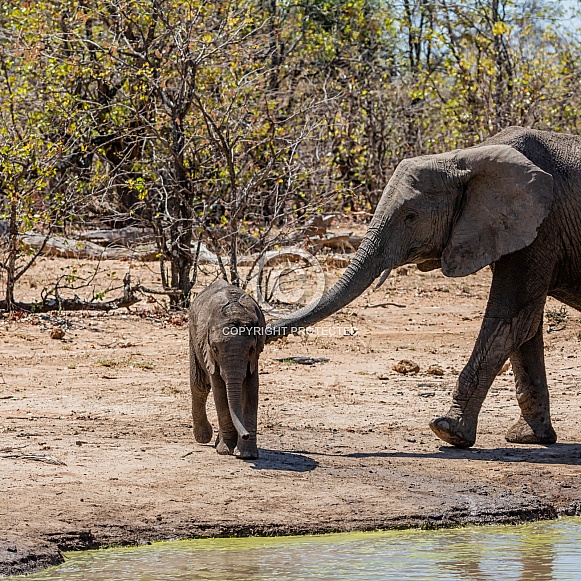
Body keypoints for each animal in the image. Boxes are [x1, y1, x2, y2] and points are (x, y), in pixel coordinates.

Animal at [188, 278, 266, 460]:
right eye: (215, 349)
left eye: (251, 349)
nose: (245, 434)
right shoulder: (209, 351)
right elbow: (219, 390)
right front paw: (225, 450)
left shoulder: (254, 357)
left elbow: (251, 390)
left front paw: (247, 454)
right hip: (193, 339)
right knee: (199, 386)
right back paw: (204, 437)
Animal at [268, 125, 580, 444]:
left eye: (410, 216)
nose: (260, 332)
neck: (465, 158)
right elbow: (525, 328)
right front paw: (528, 437)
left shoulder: (542, 227)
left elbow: (511, 323)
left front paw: (448, 431)